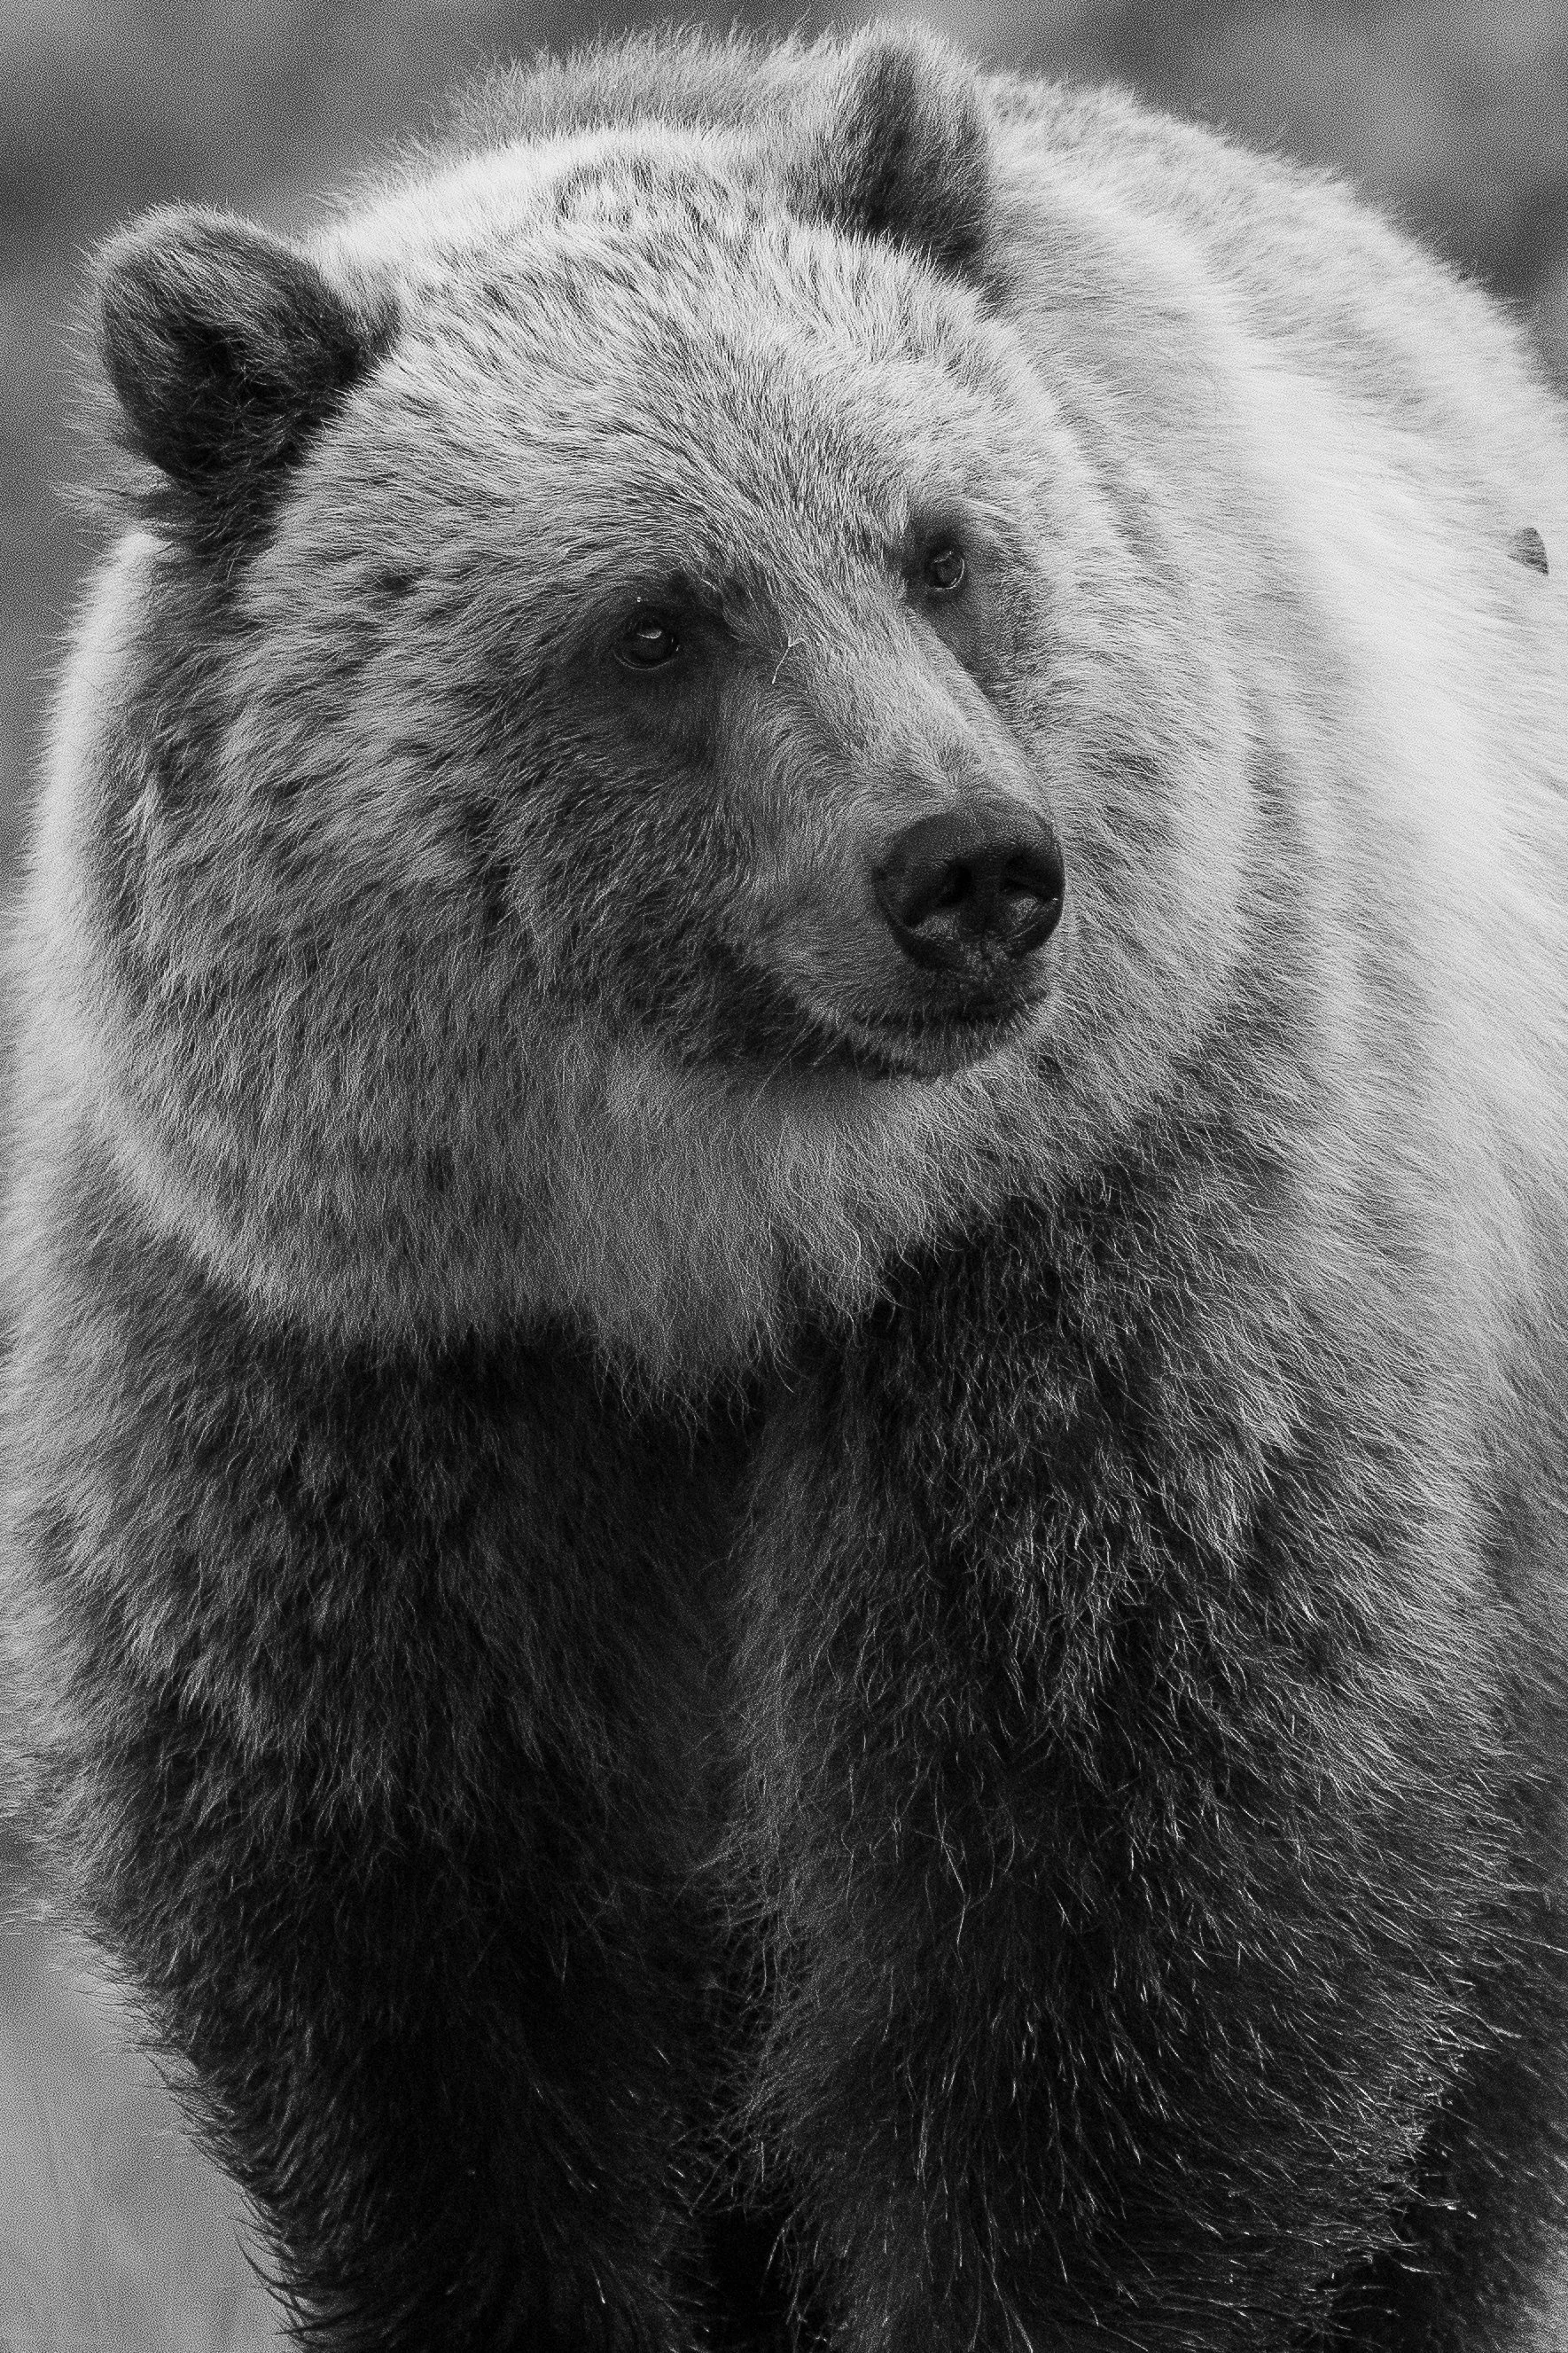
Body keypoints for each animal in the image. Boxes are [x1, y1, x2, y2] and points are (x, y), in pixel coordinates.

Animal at [3, 18, 1568, 2353]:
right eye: (657, 620)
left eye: (935, 545)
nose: (970, 867)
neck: (701, 1253)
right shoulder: (351, 1389)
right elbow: (445, 2050)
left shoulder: (1092, 1308)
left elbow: (1104, 1986)